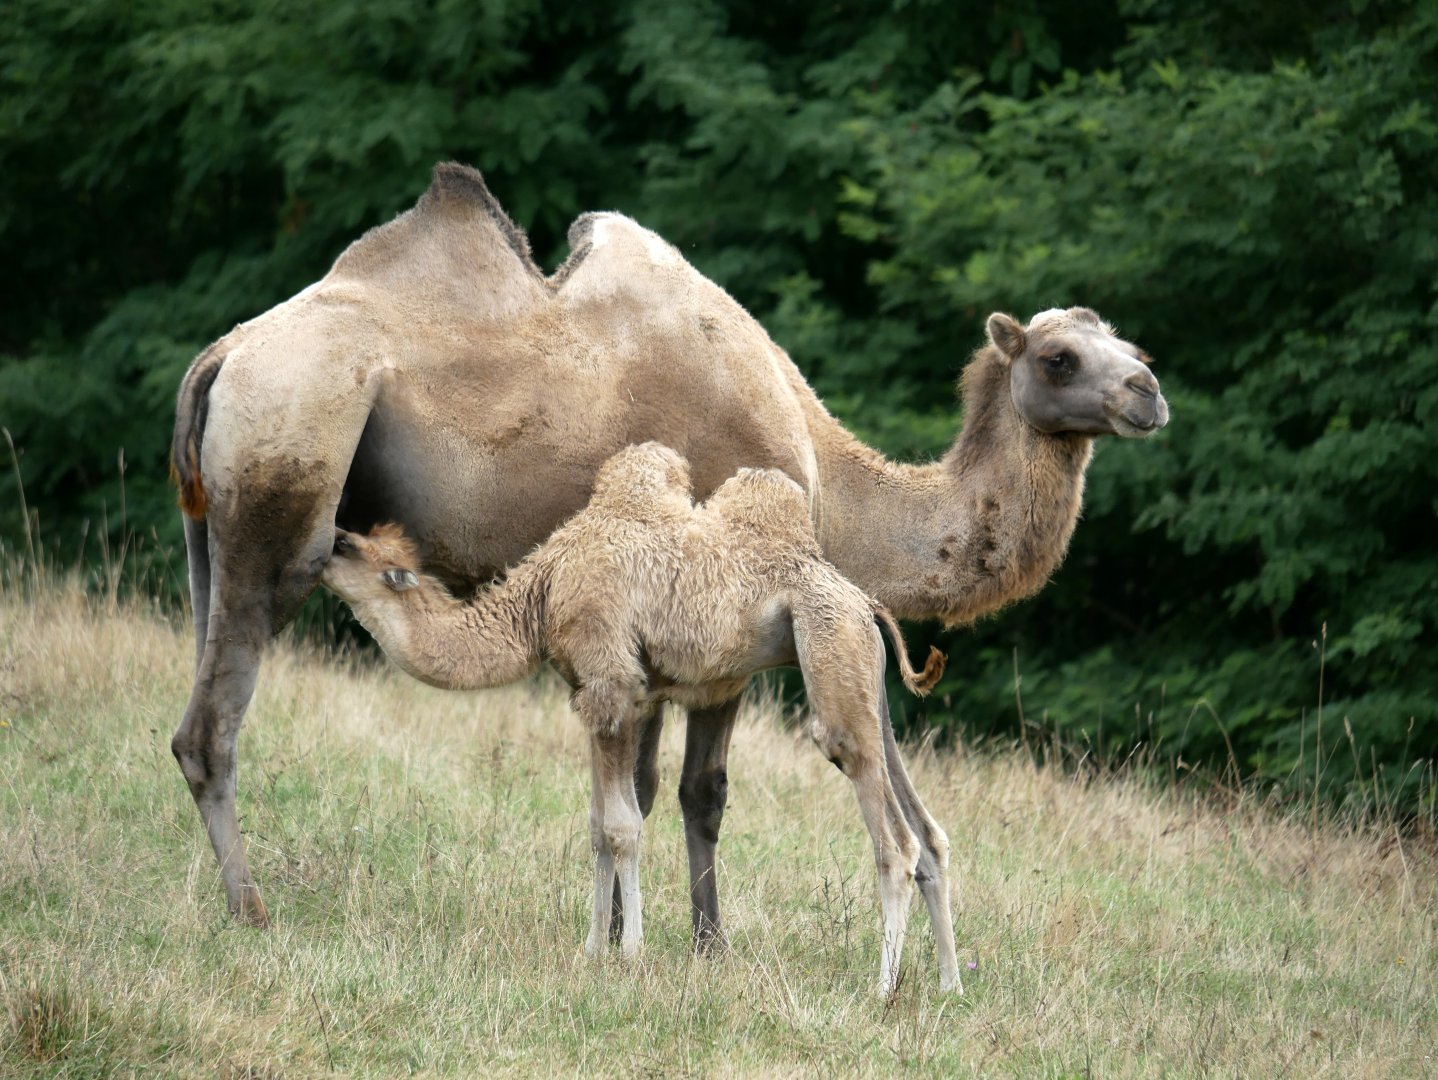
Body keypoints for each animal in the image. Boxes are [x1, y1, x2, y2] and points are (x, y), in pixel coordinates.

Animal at [319, 442, 954, 994]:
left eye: (348, 549)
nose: (324, 542)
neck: (540, 597)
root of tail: (865, 602)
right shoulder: (594, 695)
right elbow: (597, 825)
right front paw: (591, 951)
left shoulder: (611, 681)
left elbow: (622, 826)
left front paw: (629, 954)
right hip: (863, 680)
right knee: (930, 835)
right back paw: (950, 984)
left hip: (830, 663)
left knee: (896, 843)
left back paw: (881, 988)